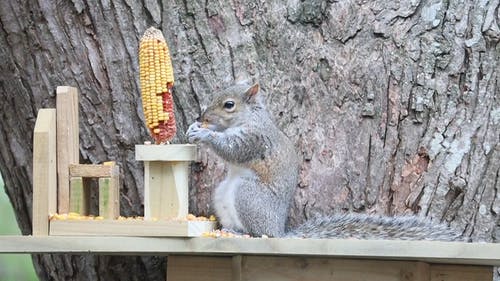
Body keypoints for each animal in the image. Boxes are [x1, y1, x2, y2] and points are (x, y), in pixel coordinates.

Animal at [187, 82, 464, 241]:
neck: (249, 118)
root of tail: (280, 232)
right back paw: (226, 230)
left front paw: (205, 135)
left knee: (259, 233)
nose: (202, 117)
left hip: (249, 196)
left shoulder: (256, 140)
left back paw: (242, 232)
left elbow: (233, 149)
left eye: (229, 105)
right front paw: (195, 128)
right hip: (222, 194)